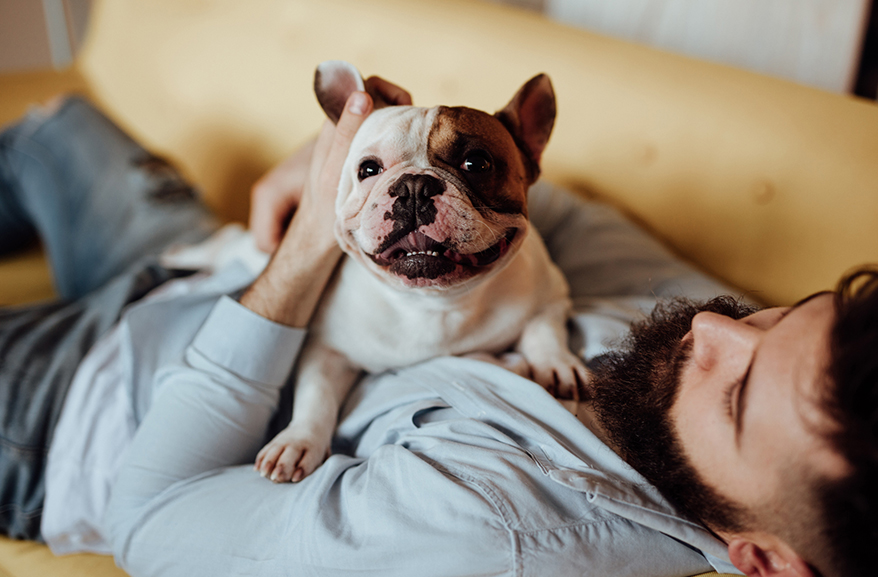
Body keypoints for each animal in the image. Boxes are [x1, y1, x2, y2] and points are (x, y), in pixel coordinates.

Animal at [262, 62, 592, 482]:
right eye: (368, 169)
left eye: (477, 163)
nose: (415, 186)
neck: (434, 303)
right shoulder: (327, 348)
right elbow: (315, 394)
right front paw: (297, 441)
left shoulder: (551, 294)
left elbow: (544, 329)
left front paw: (557, 365)